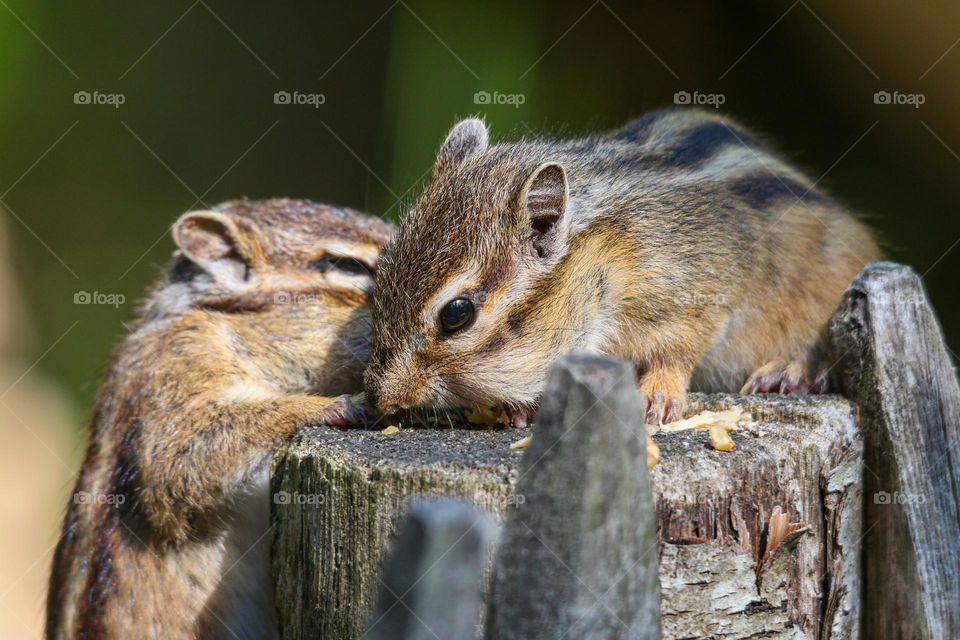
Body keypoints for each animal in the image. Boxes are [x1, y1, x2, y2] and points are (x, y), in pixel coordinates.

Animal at [364, 109, 881, 426]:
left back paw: (787, 370)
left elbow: (679, 350)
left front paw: (658, 394)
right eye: (381, 272)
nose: (378, 399)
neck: (603, 258)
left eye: (457, 314)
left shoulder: (702, 293)